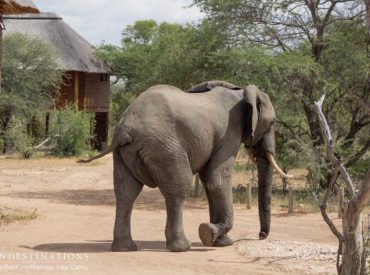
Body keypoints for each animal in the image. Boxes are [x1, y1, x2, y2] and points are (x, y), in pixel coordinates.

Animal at [81, 80, 292, 252]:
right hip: (165, 146)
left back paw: (125, 248)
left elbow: (208, 181)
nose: (261, 236)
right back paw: (182, 247)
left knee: (126, 192)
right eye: (272, 122)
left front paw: (219, 240)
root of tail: (124, 128)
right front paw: (210, 234)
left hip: (125, 153)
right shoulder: (229, 133)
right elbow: (216, 178)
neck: (240, 92)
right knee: (178, 189)